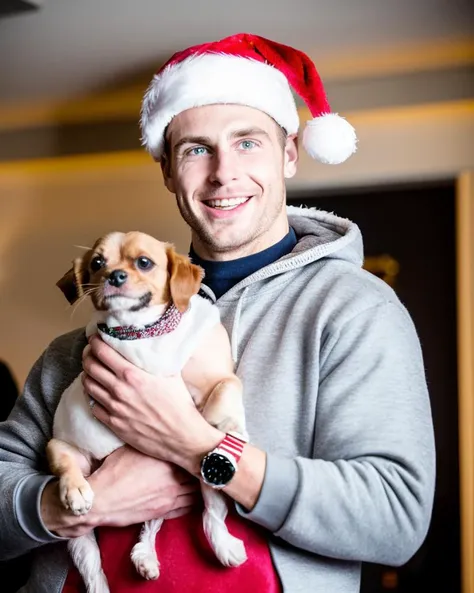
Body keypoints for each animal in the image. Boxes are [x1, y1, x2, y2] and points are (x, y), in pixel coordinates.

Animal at [47, 231, 248, 592]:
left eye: (144, 262)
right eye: (97, 263)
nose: (113, 276)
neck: (147, 331)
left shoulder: (214, 376)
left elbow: (228, 384)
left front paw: (227, 421)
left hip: (201, 481)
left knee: (201, 518)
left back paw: (174, 553)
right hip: (60, 452)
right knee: (92, 564)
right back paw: (78, 493)